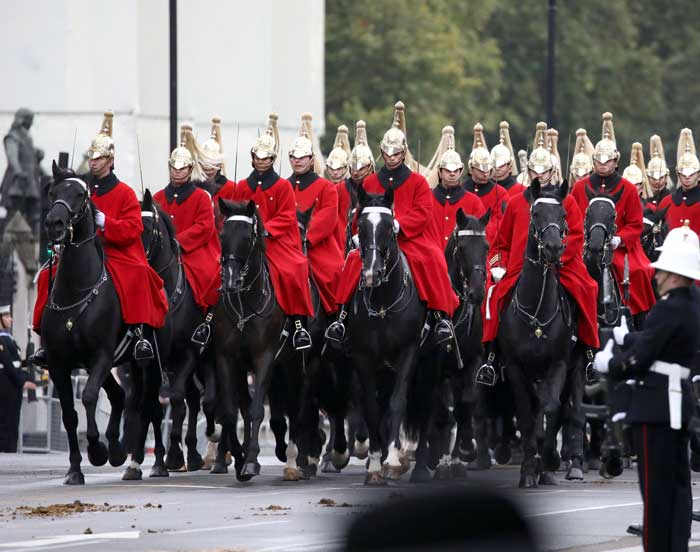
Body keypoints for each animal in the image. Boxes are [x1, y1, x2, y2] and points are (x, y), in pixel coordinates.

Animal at [43, 163, 137, 484]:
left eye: (80, 194)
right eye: (52, 191)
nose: (55, 223)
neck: (76, 289)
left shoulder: (102, 355)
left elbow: (88, 396)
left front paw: (97, 449)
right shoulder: (58, 362)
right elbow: (70, 415)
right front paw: (75, 468)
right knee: (120, 395)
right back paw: (119, 450)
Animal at [348, 184, 424, 484]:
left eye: (389, 227)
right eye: (361, 226)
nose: (372, 273)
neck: (382, 304)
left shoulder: (408, 351)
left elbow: (396, 402)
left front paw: (391, 459)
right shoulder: (362, 357)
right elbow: (370, 406)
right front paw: (375, 463)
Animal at [498, 179, 580, 486]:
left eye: (563, 215)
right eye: (535, 214)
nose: (554, 248)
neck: (536, 313)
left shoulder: (557, 365)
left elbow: (551, 409)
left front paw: (547, 461)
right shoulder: (514, 368)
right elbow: (525, 415)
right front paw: (527, 472)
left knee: (563, 408)